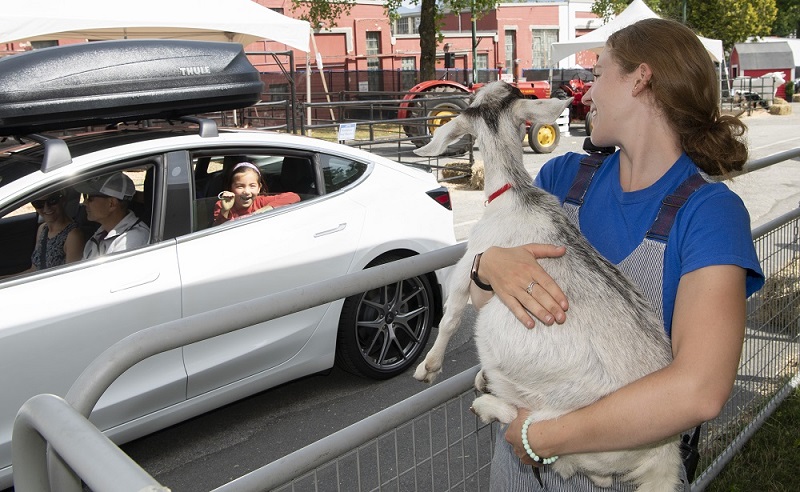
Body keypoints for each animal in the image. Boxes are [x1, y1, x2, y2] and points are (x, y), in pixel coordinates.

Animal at [412, 80, 680, 488]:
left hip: (511, 350)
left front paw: (429, 366)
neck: (513, 193)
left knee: (547, 442)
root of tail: (663, 454)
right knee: (598, 477)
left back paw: (486, 403)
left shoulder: (471, 260)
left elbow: (451, 314)